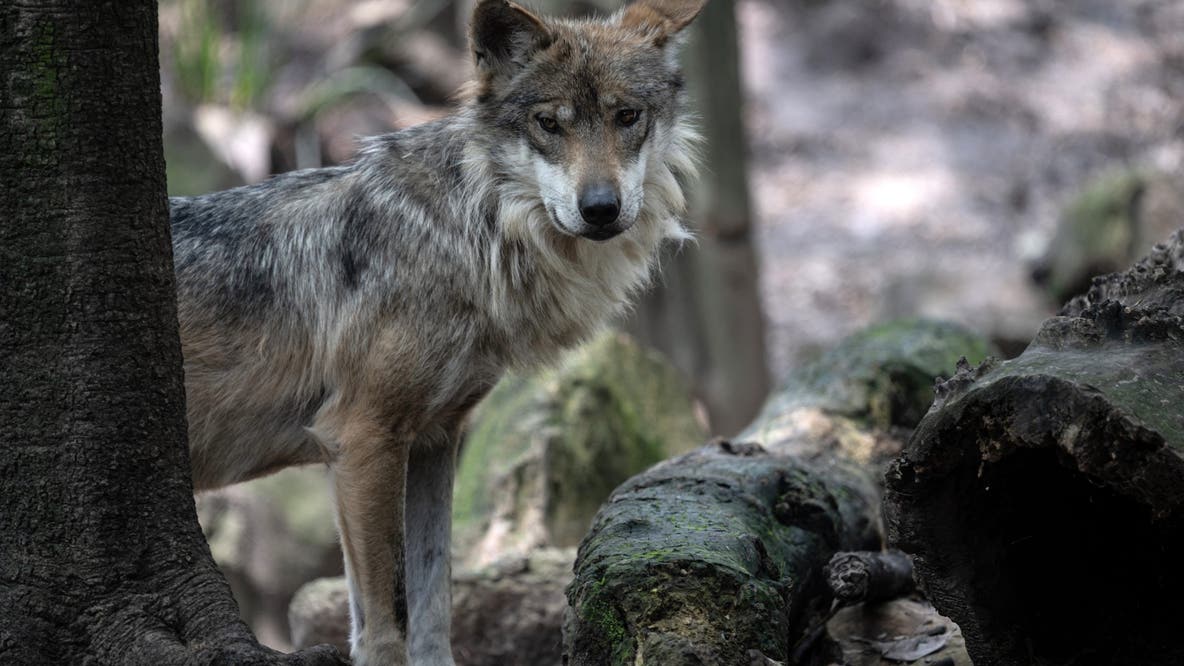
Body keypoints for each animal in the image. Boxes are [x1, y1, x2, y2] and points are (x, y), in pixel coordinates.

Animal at [169, 0, 704, 662]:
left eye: (626, 116)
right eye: (549, 124)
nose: (601, 209)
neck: (471, 230)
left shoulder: (434, 438)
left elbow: (433, 605)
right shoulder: (362, 439)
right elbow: (386, 625)